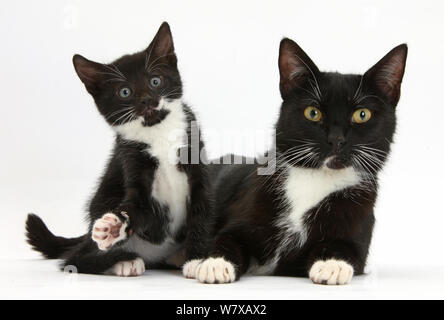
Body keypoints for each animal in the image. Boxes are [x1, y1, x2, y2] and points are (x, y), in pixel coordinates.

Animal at [26, 22, 213, 276]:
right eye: (125, 92)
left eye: (155, 81)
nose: (147, 100)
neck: (157, 133)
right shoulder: (130, 161)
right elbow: (136, 208)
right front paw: (114, 226)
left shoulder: (197, 164)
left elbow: (202, 211)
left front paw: (198, 259)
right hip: (101, 202)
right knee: (74, 260)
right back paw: (123, 261)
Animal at [183, 38, 406, 284]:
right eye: (313, 113)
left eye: (362, 115)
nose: (336, 140)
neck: (316, 178)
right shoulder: (242, 214)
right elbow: (227, 238)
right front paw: (215, 263)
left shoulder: (359, 225)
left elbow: (347, 248)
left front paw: (331, 264)